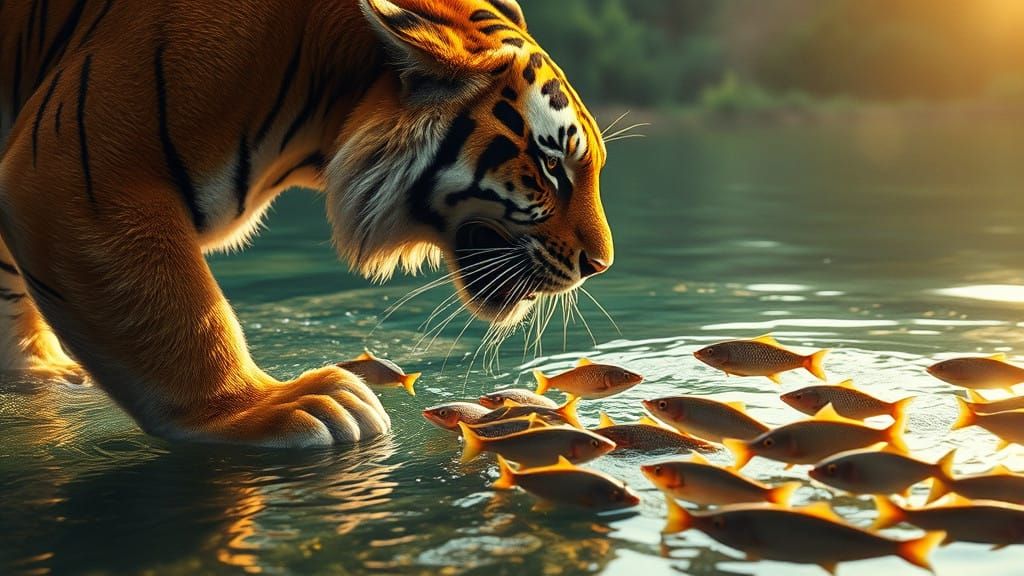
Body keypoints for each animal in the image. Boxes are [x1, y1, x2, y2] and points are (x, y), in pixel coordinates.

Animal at [0, 0, 613, 447]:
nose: (599, 264)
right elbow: (181, 312)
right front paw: (273, 407)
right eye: (552, 167)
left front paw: (41, 375)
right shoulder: (78, 170)